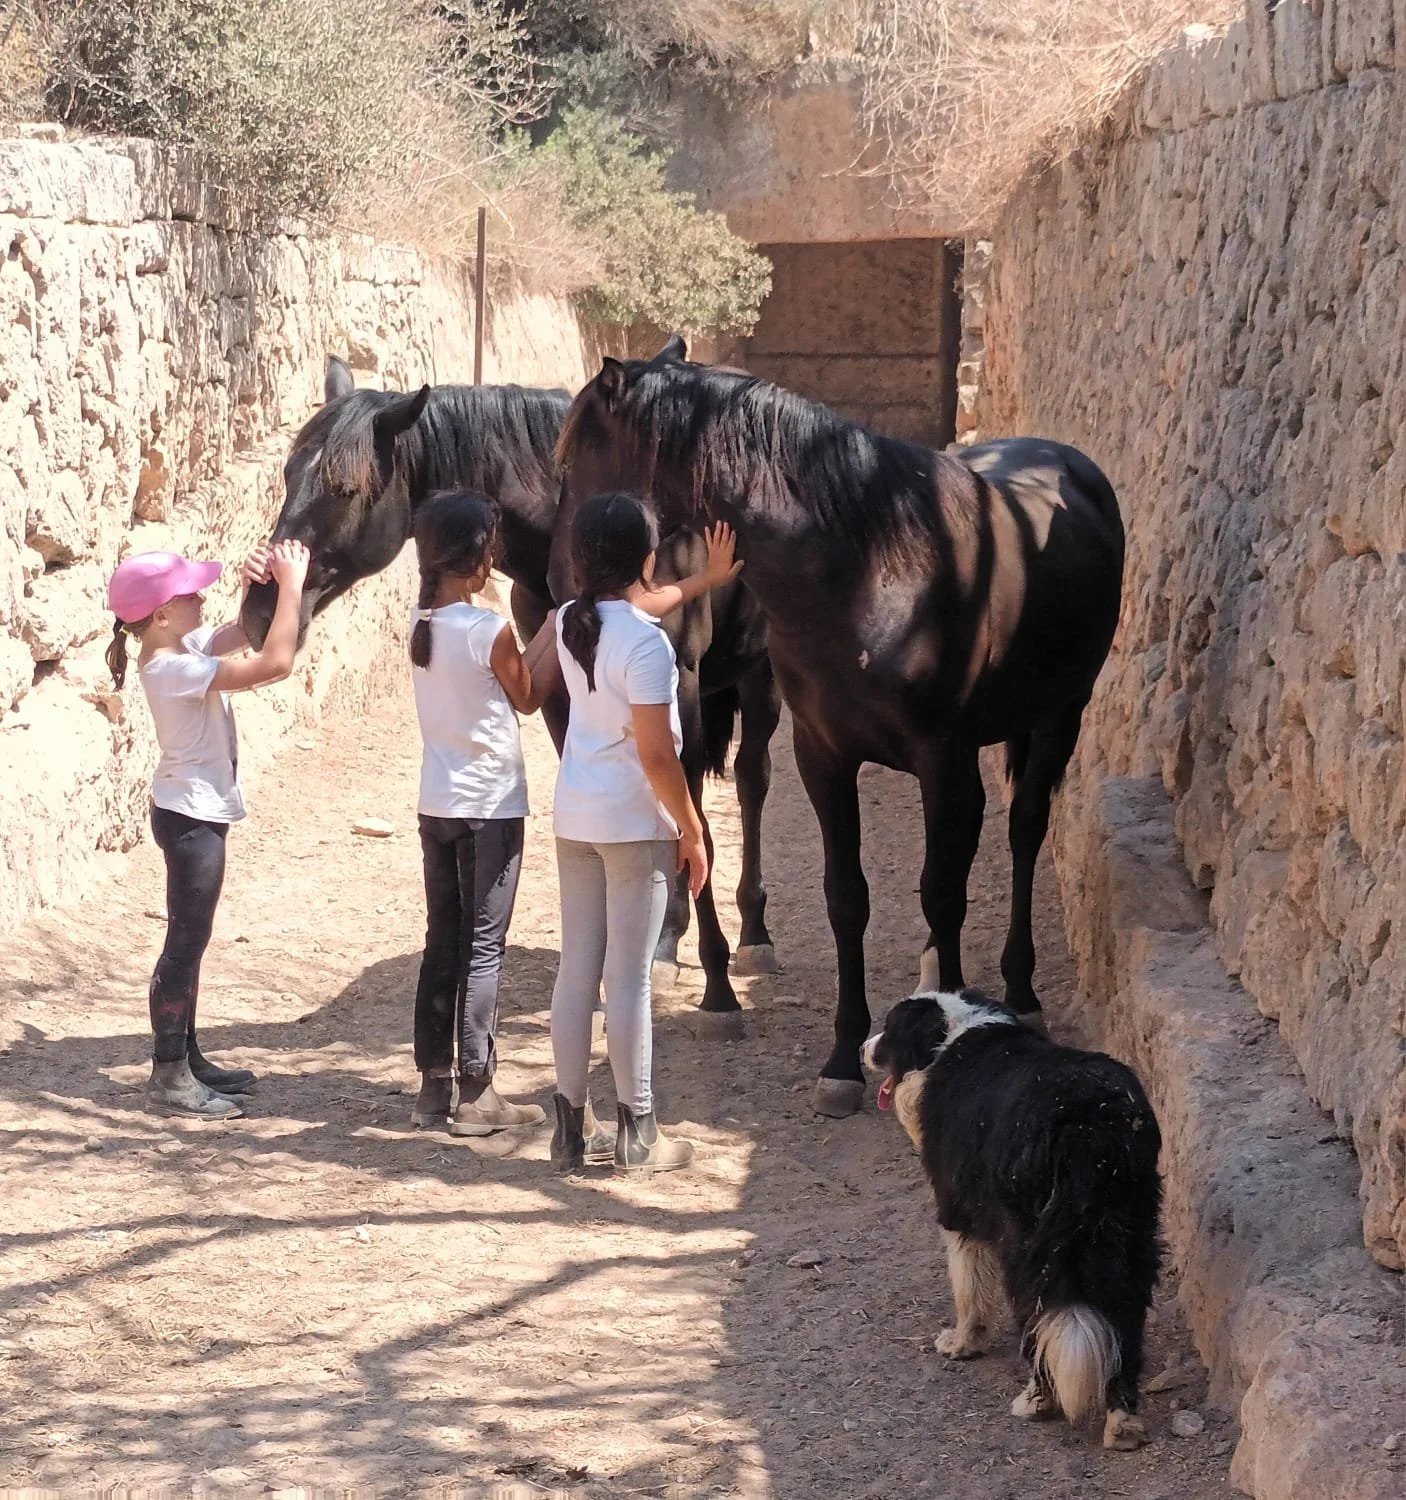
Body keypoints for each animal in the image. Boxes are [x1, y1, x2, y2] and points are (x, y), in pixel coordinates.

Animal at [240, 357, 782, 1024]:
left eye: (344, 489)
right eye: (289, 473)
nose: (261, 610)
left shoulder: (675, 676)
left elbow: (695, 815)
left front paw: (717, 984)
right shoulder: (557, 694)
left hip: (760, 679)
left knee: (751, 782)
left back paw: (751, 937)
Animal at [552, 335, 1125, 1116]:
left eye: (569, 460)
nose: (564, 595)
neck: (873, 564)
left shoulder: (945, 761)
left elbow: (943, 890)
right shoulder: (822, 755)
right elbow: (847, 898)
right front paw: (842, 1060)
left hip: (1061, 716)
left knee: (1024, 832)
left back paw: (1020, 986)